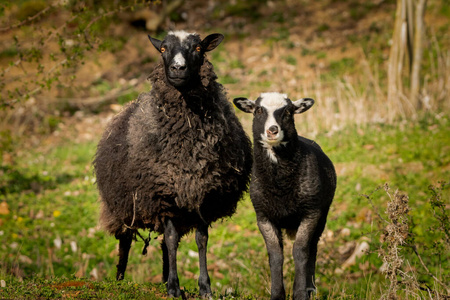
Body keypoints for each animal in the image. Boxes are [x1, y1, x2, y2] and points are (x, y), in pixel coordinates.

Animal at [92, 30, 251, 298]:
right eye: (163, 49)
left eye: (198, 48)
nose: (178, 68)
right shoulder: (163, 196)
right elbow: (171, 239)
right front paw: (175, 288)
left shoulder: (203, 196)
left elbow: (200, 240)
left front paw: (204, 287)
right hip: (125, 205)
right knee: (127, 240)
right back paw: (120, 280)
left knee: (167, 246)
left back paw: (165, 277)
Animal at [234, 92, 336, 300]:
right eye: (258, 110)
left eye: (288, 112)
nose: (273, 130)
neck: (280, 184)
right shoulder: (263, 216)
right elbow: (275, 255)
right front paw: (277, 294)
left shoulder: (311, 212)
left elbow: (300, 251)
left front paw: (300, 293)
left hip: (322, 215)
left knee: (312, 249)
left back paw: (310, 288)